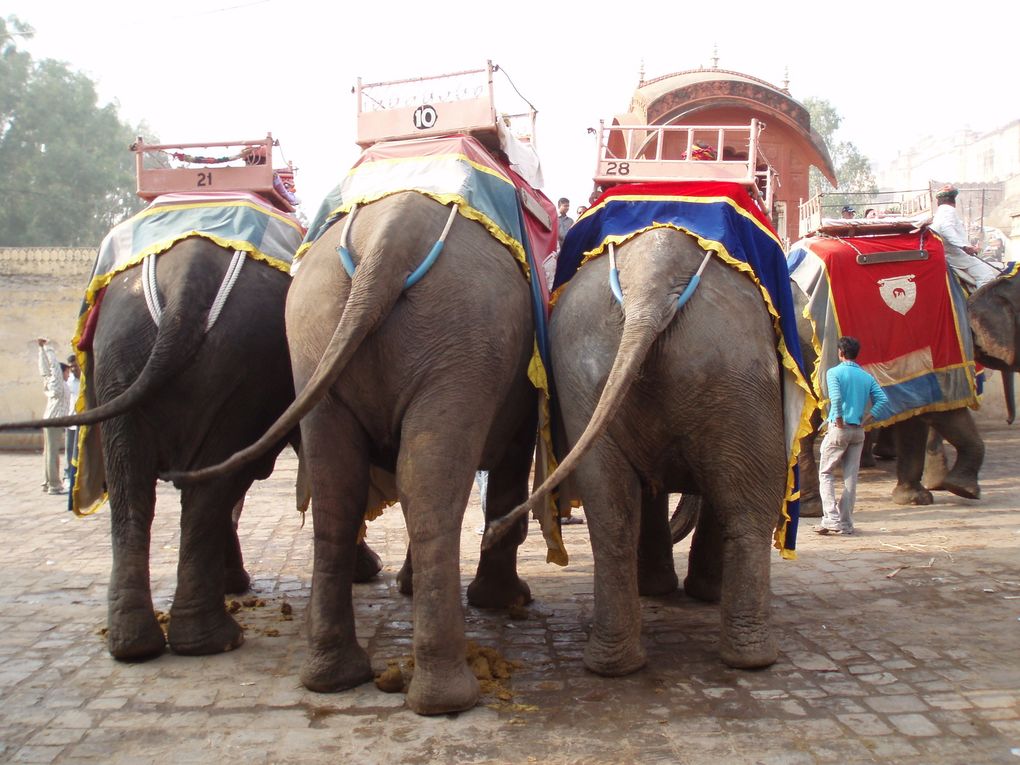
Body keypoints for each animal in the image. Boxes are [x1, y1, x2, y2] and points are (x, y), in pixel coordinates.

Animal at [173, 192, 542, 718]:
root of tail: (389, 238)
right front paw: (504, 600)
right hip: (463, 338)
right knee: (429, 484)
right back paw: (448, 697)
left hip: (320, 336)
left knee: (344, 487)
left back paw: (335, 677)